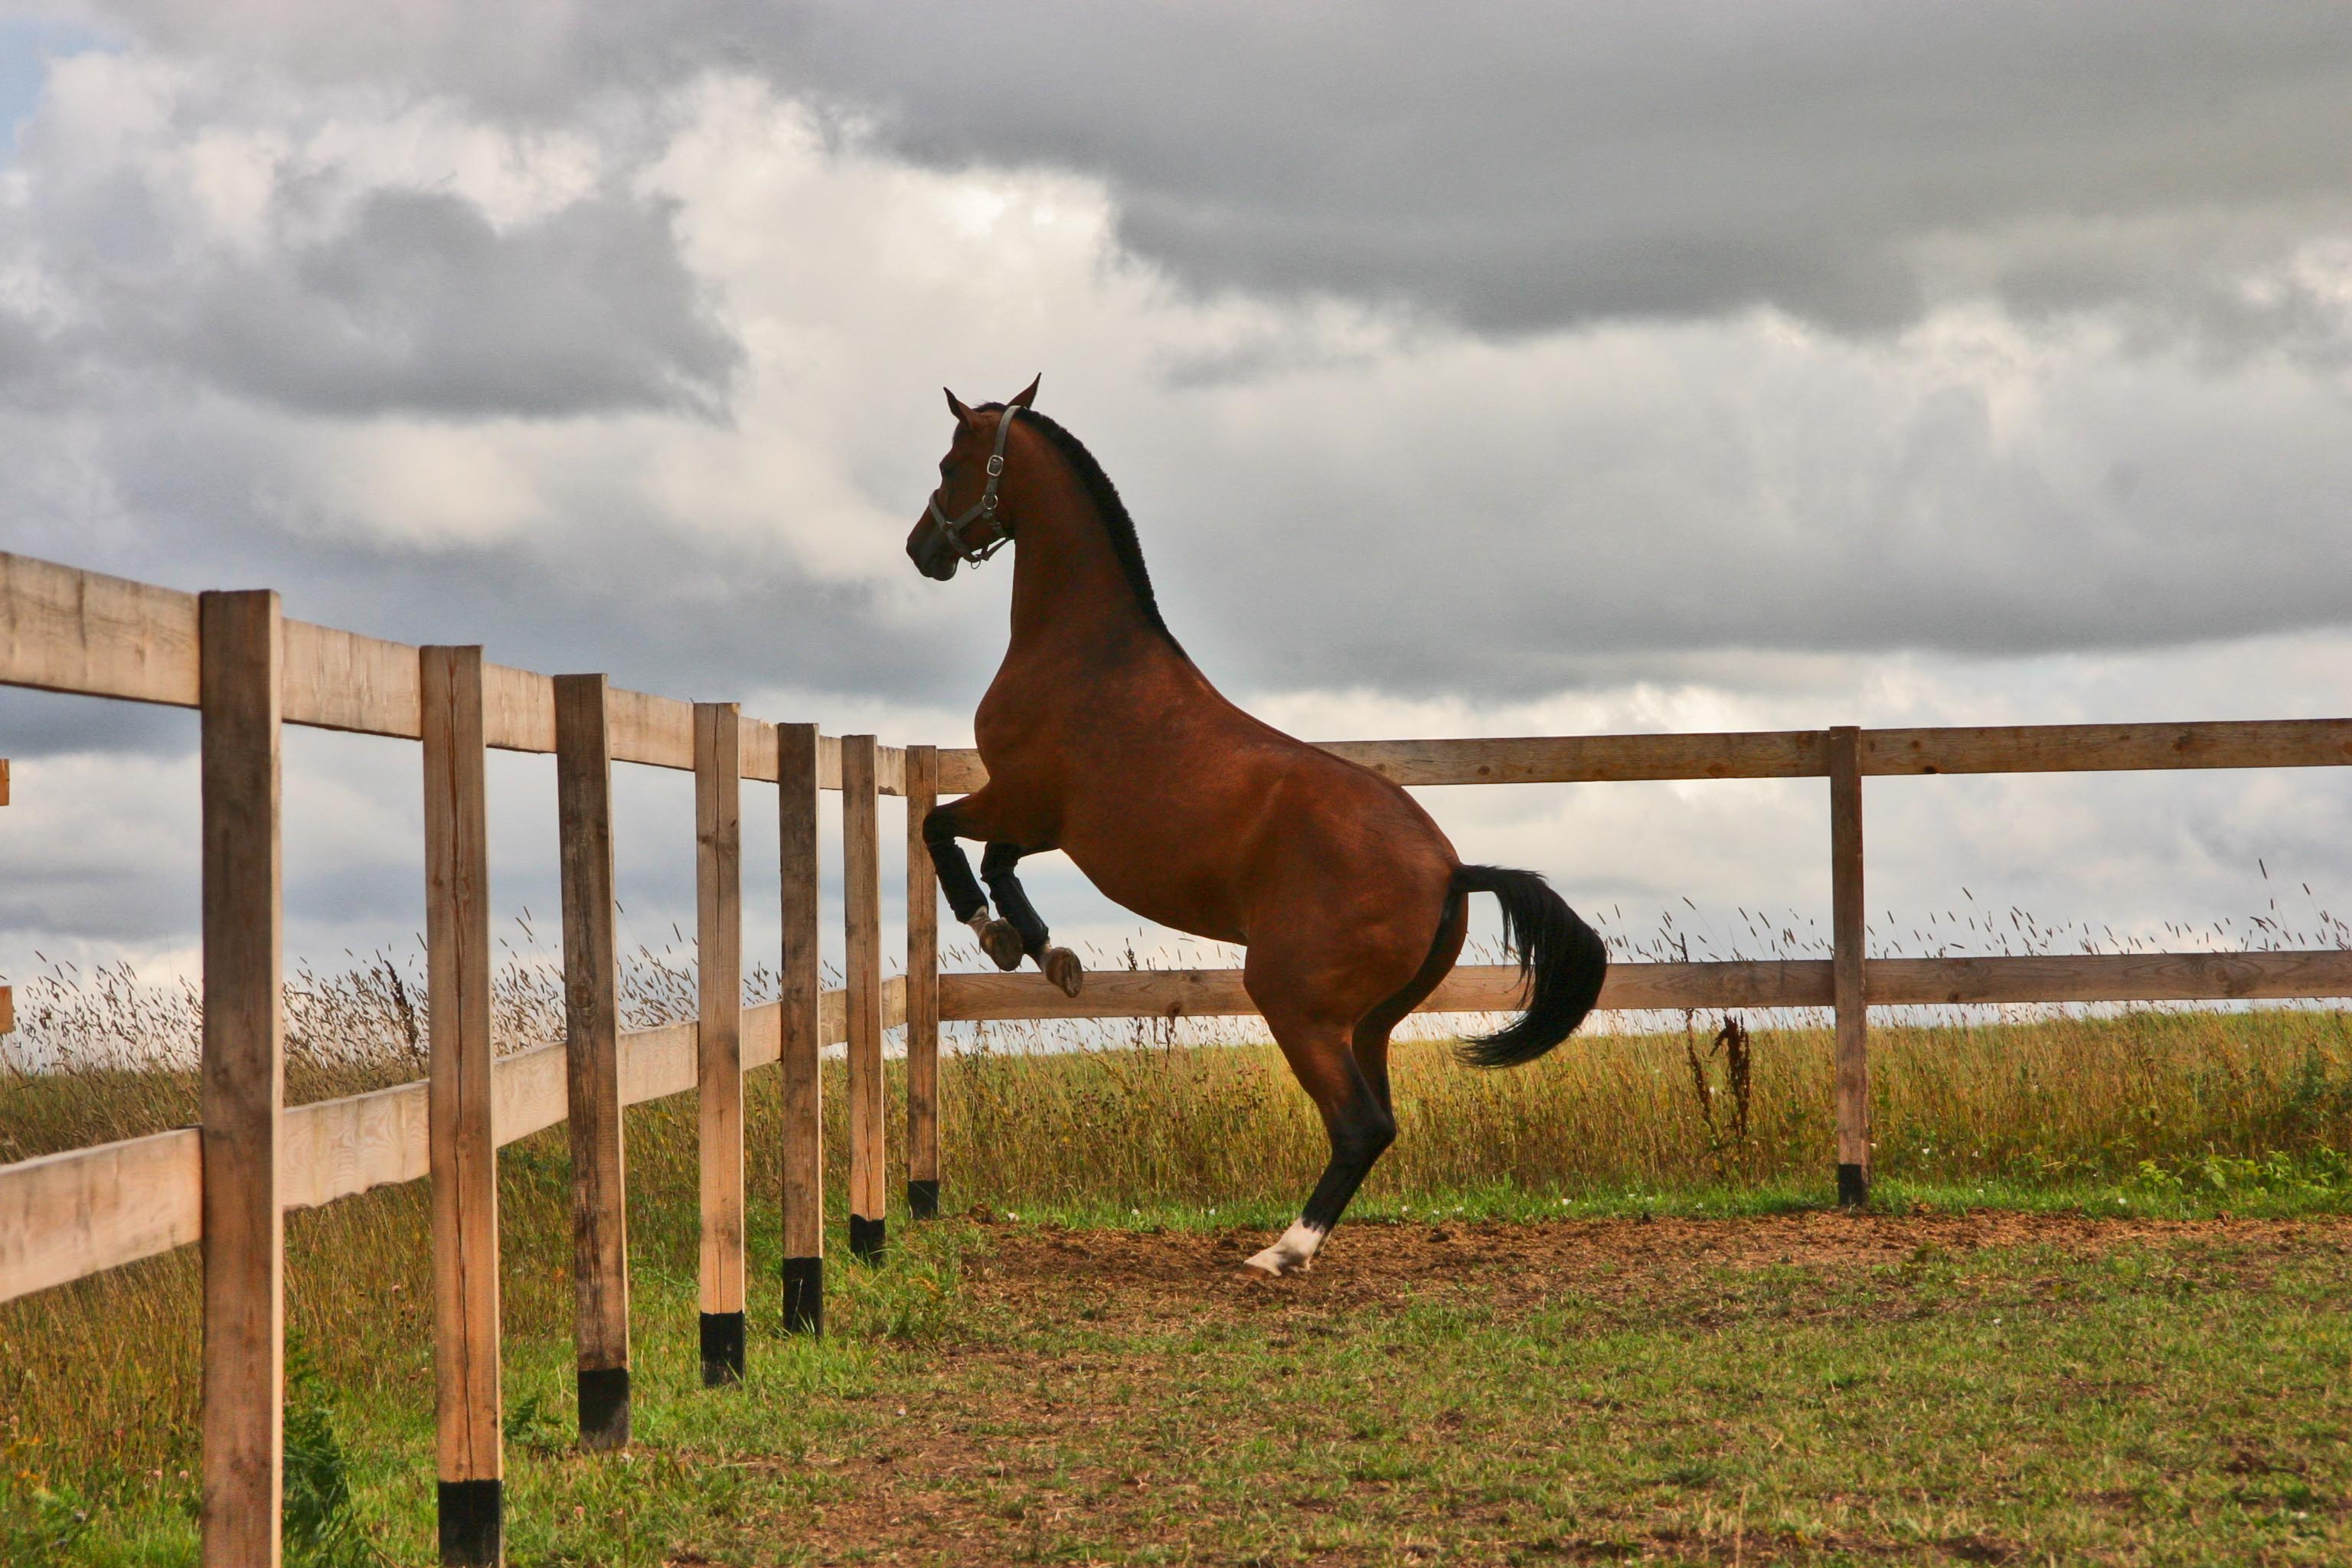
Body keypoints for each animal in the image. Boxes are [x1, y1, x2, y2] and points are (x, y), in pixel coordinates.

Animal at [907, 381, 1609, 1279]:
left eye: (949, 464)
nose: (922, 548)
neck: (1084, 653)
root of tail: (1452, 870)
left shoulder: (1020, 799)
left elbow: (942, 831)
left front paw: (993, 932)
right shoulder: (1046, 825)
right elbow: (997, 863)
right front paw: (1044, 950)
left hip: (1293, 1003)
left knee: (1360, 1125)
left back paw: (1282, 1250)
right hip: (1369, 1021)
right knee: (1379, 1119)